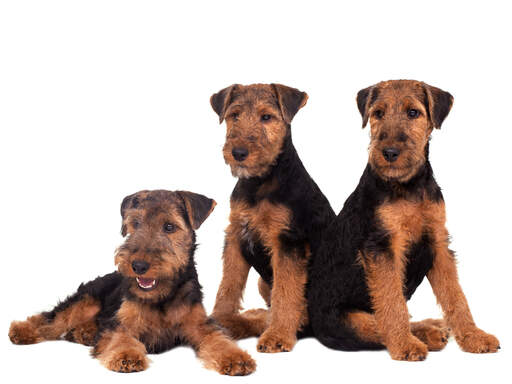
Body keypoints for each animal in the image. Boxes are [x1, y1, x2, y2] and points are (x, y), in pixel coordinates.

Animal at [8, 190, 256, 376]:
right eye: (135, 223)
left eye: (169, 227)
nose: (138, 265)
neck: (162, 297)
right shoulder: (121, 324)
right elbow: (122, 338)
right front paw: (126, 356)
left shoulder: (200, 325)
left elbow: (219, 338)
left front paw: (236, 359)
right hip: (84, 301)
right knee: (50, 319)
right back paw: (20, 331)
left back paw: (83, 333)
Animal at [209, 82, 334, 352]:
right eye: (234, 115)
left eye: (266, 117)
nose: (238, 152)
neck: (259, 183)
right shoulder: (236, 234)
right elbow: (228, 285)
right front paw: (218, 319)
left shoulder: (287, 240)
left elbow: (285, 293)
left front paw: (277, 336)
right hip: (262, 282)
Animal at [308, 79, 500, 362]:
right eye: (378, 113)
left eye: (413, 113)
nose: (389, 152)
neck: (408, 186)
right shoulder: (382, 246)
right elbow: (392, 303)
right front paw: (404, 346)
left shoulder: (437, 241)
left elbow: (455, 296)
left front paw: (474, 337)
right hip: (346, 320)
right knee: (376, 326)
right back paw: (424, 335)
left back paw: (434, 328)